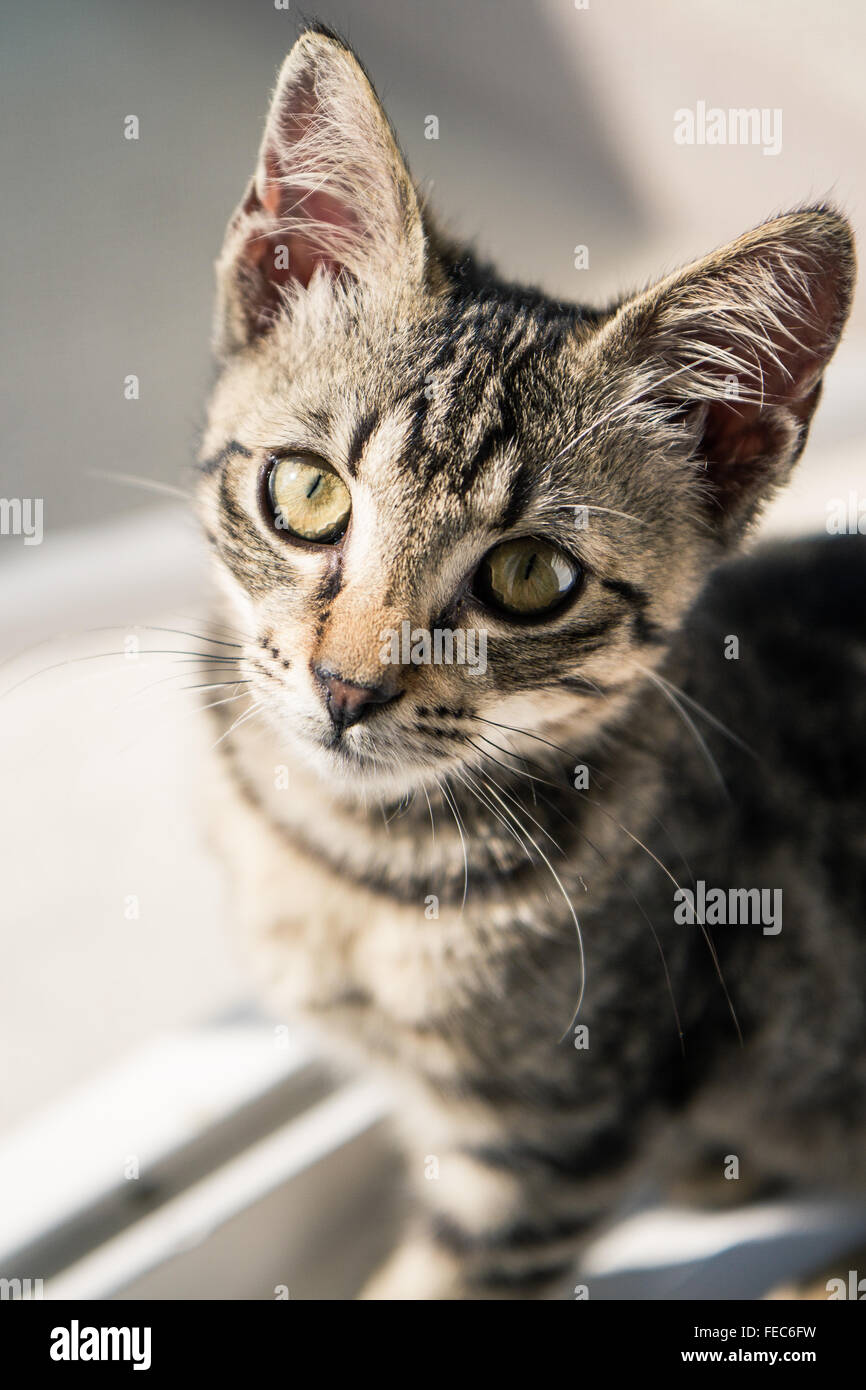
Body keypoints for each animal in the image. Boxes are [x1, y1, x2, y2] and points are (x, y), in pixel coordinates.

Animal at [195, 27, 861, 1295]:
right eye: (306, 493)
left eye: (528, 577)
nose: (346, 687)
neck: (352, 865)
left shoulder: (553, 1141)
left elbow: (440, 1274)